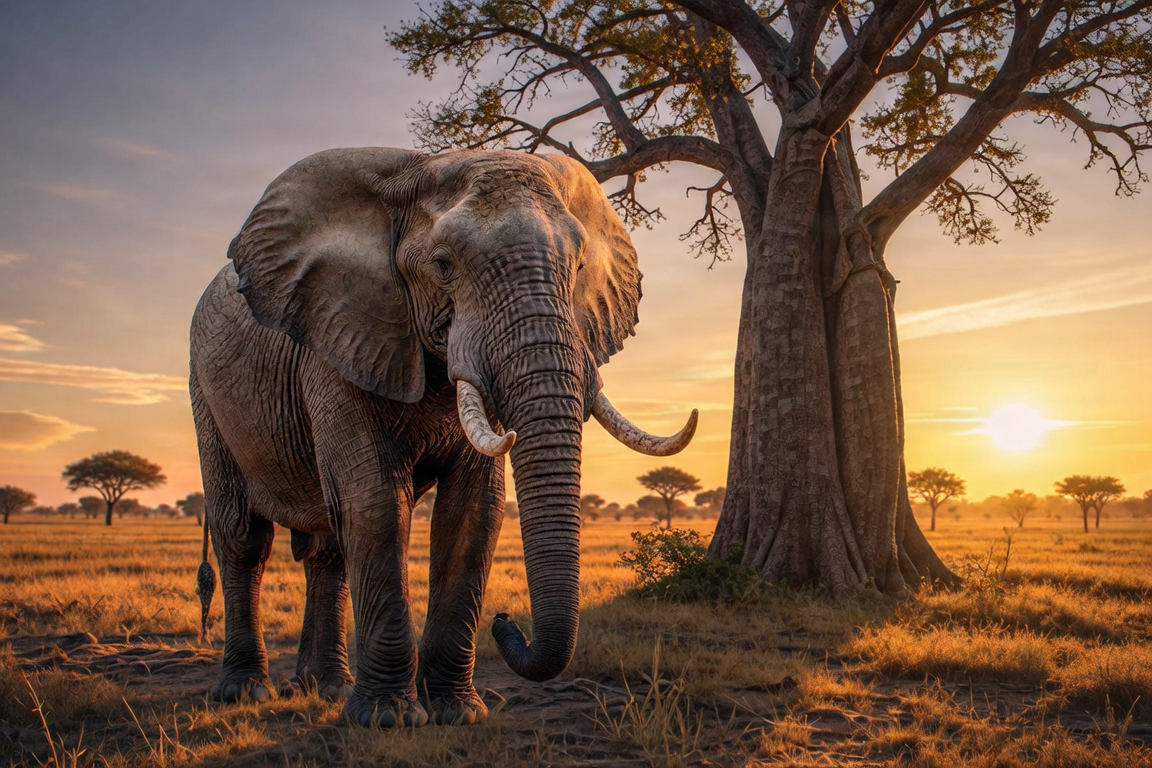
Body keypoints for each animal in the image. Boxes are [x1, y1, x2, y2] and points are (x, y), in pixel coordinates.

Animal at [189, 147, 696, 727]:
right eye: (443, 265)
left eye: (579, 267)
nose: (505, 621)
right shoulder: (338, 340)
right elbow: (376, 505)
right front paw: (389, 720)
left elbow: (475, 510)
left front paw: (459, 712)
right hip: (206, 393)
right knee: (244, 535)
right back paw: (246, 692)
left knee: (327, 547)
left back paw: (327, 688)